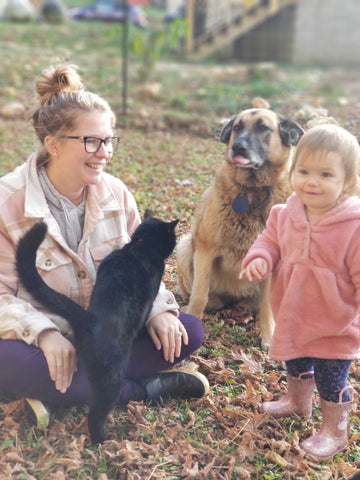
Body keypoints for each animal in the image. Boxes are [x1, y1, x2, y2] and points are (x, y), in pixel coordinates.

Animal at [15, 212, 179, 444]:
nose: (175, 244)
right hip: (110, 378)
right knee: (96, 412)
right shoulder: (147, 300)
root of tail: (89, 319)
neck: (139, 247)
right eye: (173, 238)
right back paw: (104, 439)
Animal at [177, 106, 304, 348]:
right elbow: (199, 294)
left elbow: (267, 305)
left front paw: (268, 335)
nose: (238, 146)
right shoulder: (206, 250)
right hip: (185, 246)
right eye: (237, 128)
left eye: (263, 128)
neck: (252, 190)